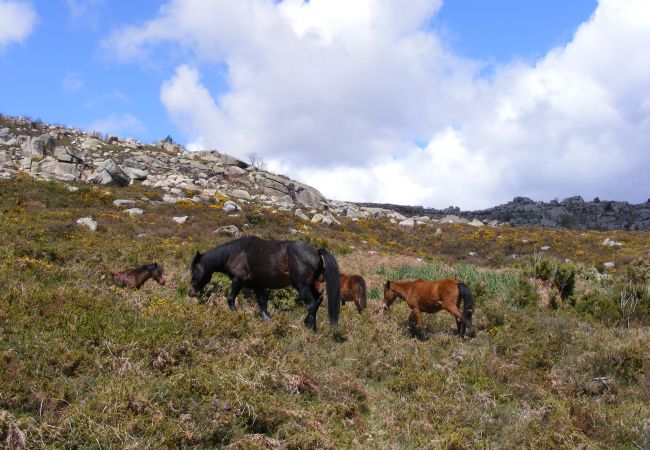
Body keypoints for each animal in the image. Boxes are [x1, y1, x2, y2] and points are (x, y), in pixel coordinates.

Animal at [186, 236, 340, 330]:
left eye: (195, 271)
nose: (190, 292)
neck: (235, 253)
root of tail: (316, 251)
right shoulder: (257, 285)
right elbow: (262, 304)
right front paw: (268, 322)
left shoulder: (237, 280)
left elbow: (230, 299)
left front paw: (236, 316)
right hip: (311, 285)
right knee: (318, 299)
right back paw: (308, 323)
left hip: (302, 286)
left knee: (312, 304)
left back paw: (310, 328)